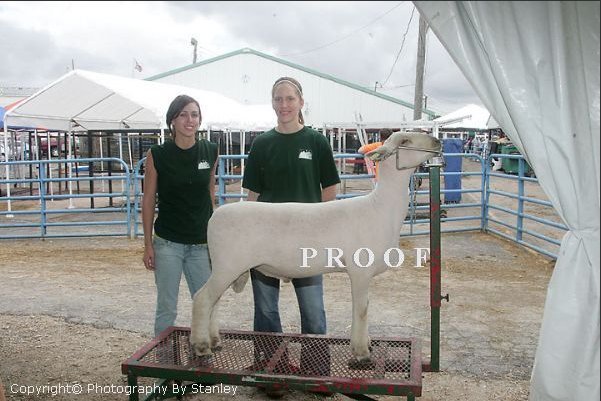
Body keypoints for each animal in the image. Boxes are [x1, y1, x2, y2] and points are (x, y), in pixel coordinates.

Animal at [192, 132, 440, 362]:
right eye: (405, 141)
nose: (437, 142)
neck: (381, 207)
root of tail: (215, 216)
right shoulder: (360, 271)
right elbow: (362, 309)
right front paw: (361, 352)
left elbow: (364, 308)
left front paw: (366, 344)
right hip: (227, 265)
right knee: (203, 298)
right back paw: (201, 346)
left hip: (227, 268)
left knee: (214, 301)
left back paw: (214, 341)